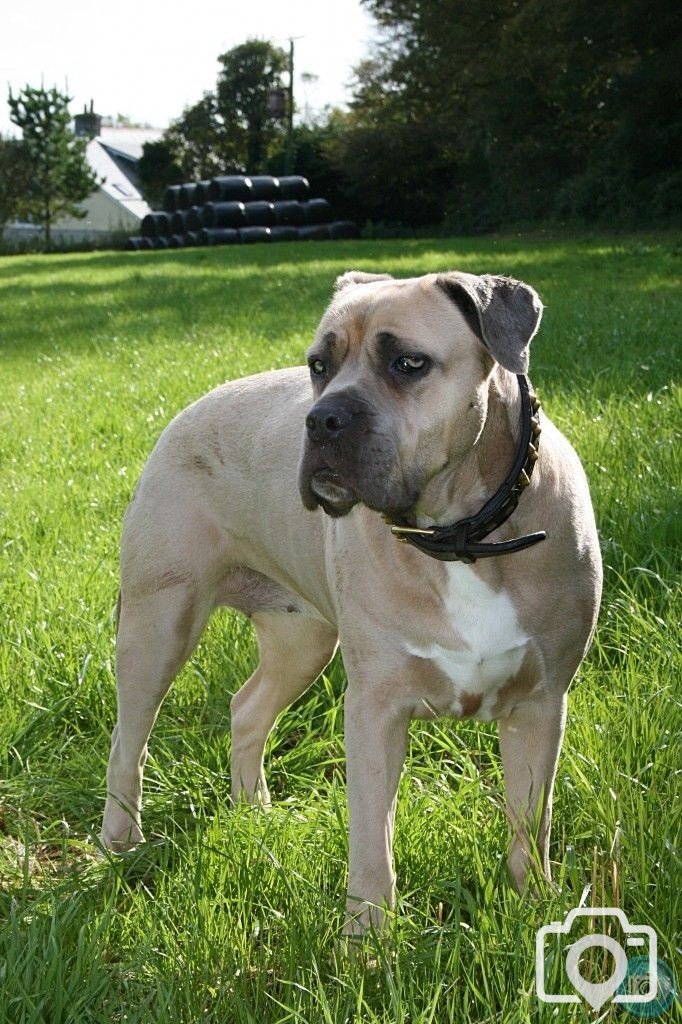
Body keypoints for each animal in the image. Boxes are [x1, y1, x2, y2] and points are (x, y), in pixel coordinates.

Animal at [100, 270, 602, 937]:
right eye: (319, 365)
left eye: (408, 363)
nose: (322, 420)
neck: (461, 538)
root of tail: (189, 408)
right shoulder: (375, 709)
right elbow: (371, 843)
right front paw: (366, 944)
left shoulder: (540, 706)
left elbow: (529, 825)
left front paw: (533, 908)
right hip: (158, 625)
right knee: (128, 737)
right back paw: (121, 839)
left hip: (301, 640)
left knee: (247, 708)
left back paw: (252, 810)